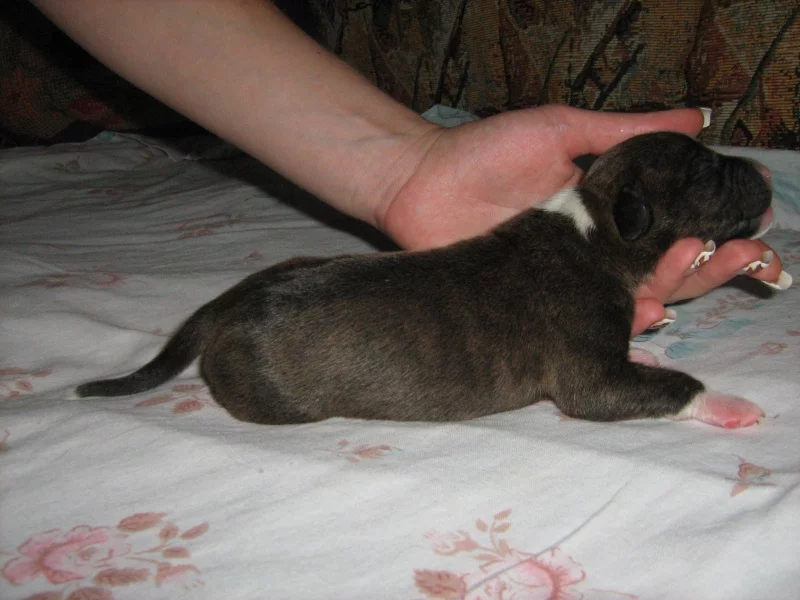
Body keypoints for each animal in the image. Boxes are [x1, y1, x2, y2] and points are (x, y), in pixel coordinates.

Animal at [77, 132, 775, 428]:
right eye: (705, 174)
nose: (767, 176)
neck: (595, 227)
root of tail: (226, 306)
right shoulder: (592, 381)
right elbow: (662, 387)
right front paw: (728, 403)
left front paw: (648, 345)